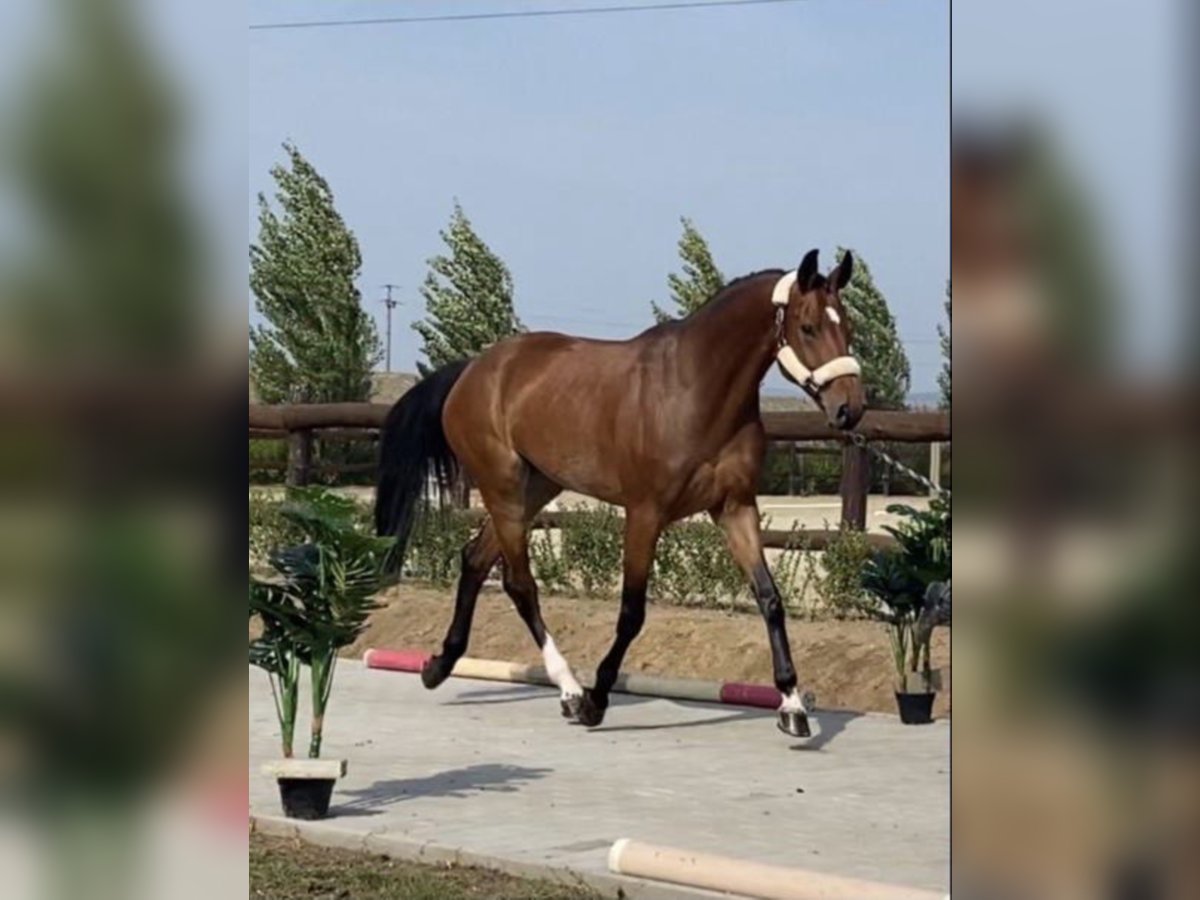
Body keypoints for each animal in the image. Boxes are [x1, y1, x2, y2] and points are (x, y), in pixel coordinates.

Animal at [374, 248, 864, 739]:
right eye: (809, 327)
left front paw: (792, 706)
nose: (850, 409)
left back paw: (438, 665)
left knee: (475, 561)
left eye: (848, 327)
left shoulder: (735, 508)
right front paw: (596, 700)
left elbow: (770, 598)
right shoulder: (645, 514)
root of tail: (473, 370)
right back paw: (570, 691)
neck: (695, 389)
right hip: (504, 489)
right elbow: (631, 612)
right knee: (520, 584)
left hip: (534, 489)